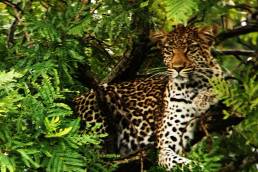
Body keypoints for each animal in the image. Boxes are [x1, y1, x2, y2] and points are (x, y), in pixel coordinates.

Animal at [73, 24, 223, 170]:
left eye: (191, 48)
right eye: (170, 50)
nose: (177, 67)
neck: (193, 87)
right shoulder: (165, 146)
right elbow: (188, 164)